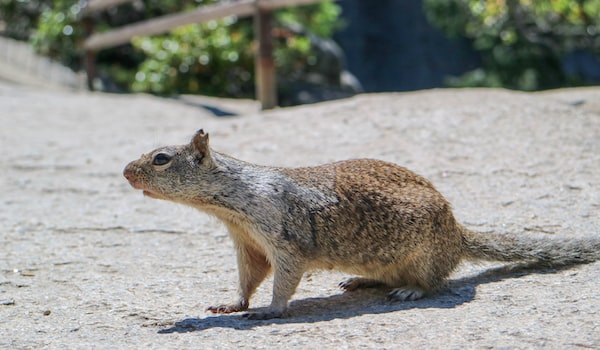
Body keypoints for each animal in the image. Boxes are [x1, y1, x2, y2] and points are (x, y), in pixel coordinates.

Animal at [123, 129, 600, 320]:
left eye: (161, 158)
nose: (126, 172)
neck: (232, 202)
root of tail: (457, 234)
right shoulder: (247, 243)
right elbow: (249, 277)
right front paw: (232, 304)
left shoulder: (283, 238)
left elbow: (284, 279)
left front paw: (270, 311)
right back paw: (361, 281)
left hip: (424, 255)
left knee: (435, 282)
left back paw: (409, 290)